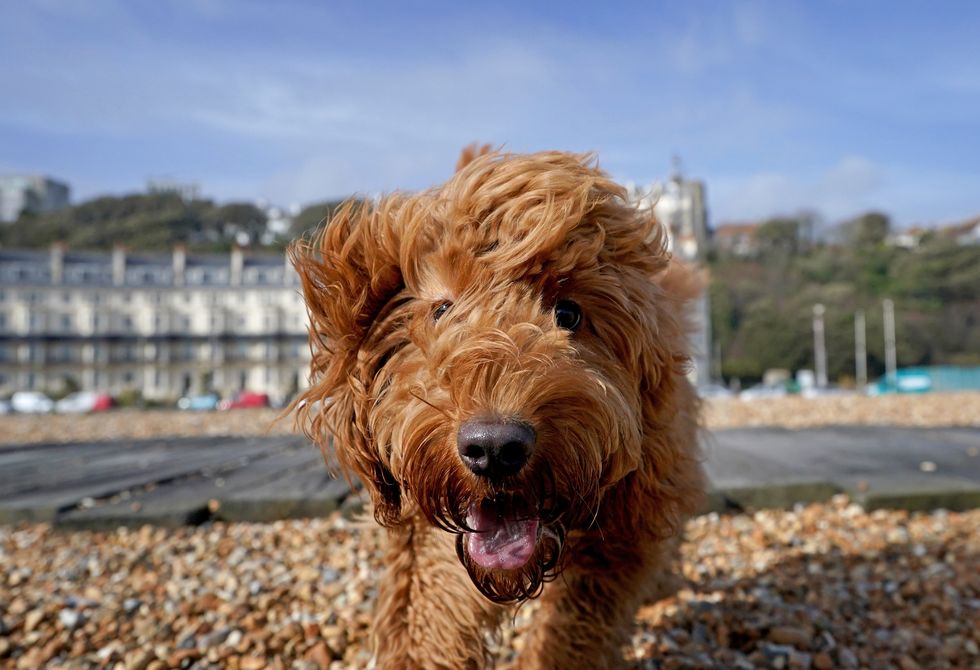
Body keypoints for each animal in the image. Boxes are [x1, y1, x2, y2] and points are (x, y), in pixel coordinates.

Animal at [290, 148, 704, 670]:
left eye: (568, 314)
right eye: (442, 310)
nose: (494, 448)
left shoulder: (621, 534)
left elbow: (575, 628)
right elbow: (431, 613)